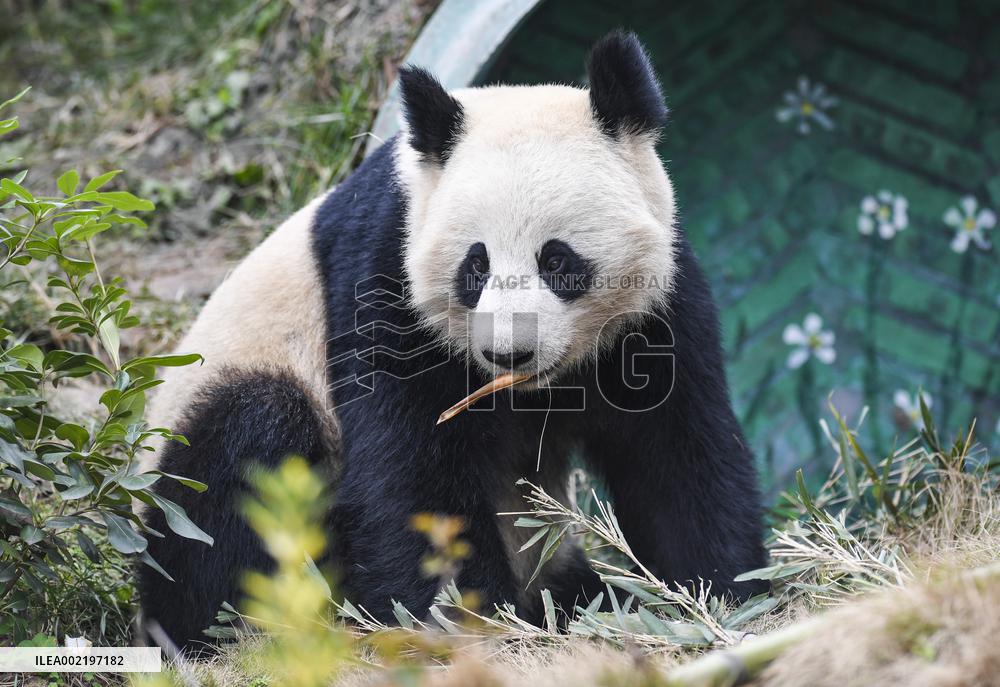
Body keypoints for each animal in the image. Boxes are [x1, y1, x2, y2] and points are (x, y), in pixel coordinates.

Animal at [139, 30, 768, 649]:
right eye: (476, 264)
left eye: (557, 260)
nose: (509, 353)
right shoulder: (385, 282)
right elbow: (411, 474)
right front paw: (472, 623)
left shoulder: (655, 307)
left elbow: (675, 450)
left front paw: (716, 596)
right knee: (246, 456)